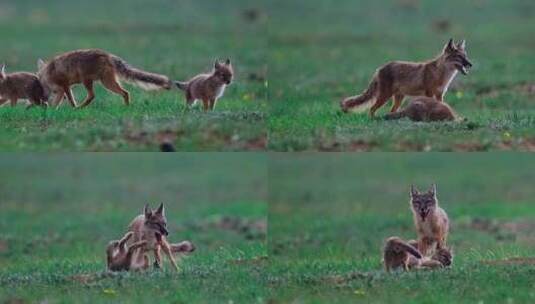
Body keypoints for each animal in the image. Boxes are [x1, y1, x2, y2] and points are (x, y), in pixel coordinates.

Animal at [37, 48, 175, 108]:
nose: (42, 100)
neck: (45, 74)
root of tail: (107, 55)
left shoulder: (64, 86)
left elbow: (68, 100)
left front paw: (66, 108)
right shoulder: (63, 88)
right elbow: (61, 100)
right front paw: (54, 110)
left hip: (96, 82)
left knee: (93, 95)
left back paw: (80, 107)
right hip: (103, 82)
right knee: (125, 93)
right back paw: (126, 107)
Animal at [344, 38, 474, 117]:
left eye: (465, 56)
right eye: (459, 57)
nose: (470, 64)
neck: (441, 74)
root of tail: (380, 68)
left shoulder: (439, 94)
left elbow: (442, 105)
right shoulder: (429, 93)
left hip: (399, 98)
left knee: (391, 111)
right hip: (385, 96)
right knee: (372, 109)